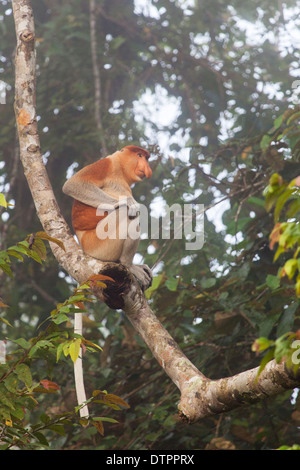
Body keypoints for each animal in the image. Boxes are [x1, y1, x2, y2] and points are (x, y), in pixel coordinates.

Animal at [62, 145, 152, 288]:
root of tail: (83, 247)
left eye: (146, 158)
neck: (120, 169)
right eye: (139, 155)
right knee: (125, 212)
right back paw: (128, 265)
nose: (147, 167)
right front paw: (129, 202)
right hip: (98, 244)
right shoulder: (107, 164)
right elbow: (73, 184)